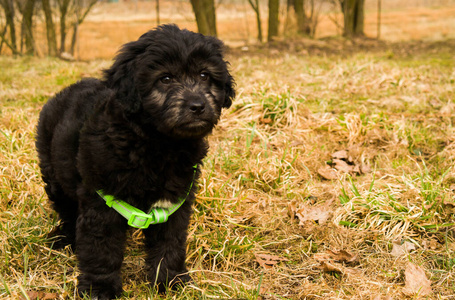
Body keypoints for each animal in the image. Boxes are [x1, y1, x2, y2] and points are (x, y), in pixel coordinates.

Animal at [35, 24, 235, 298]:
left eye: (205, 75)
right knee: (66, 209)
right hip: (55, 176)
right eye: (165, 79)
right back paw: (65, 239)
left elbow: (170, 243)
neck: (157, 144)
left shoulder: (173, 204)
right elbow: (101, 249)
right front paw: (100, 288)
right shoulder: (102, 202)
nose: (197, 106)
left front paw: (169, 280)